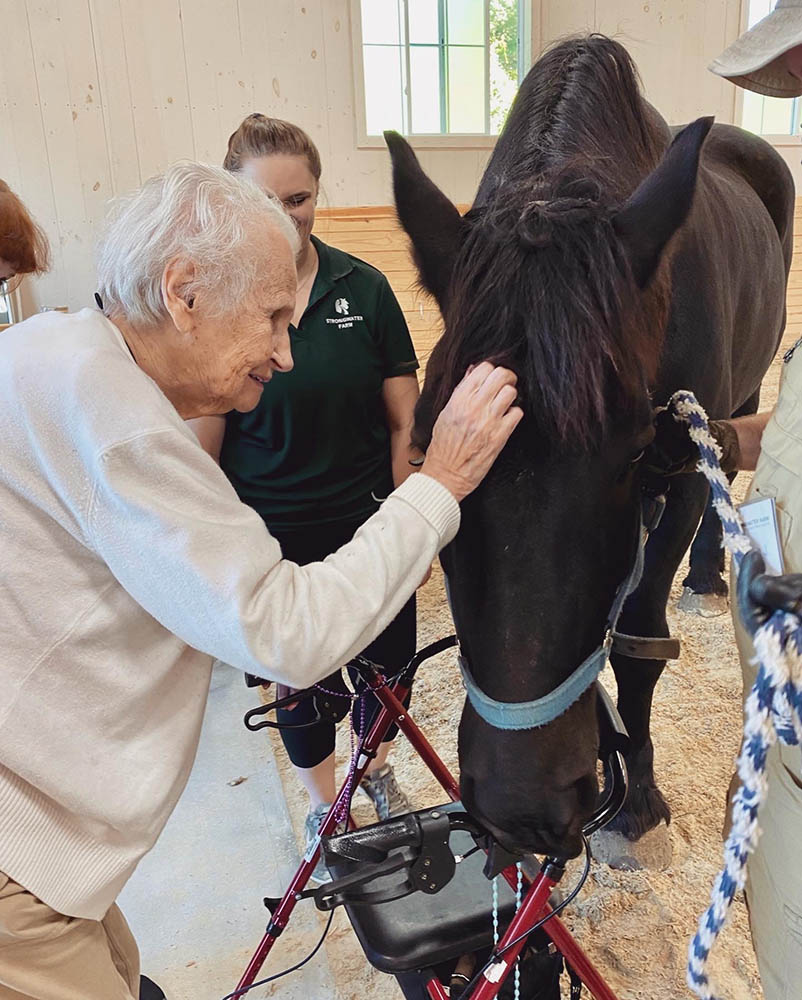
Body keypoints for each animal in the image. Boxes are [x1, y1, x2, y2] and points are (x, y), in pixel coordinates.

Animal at [385, 35, 793, 858]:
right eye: (427, 448)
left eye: (632, 453)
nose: (521, 808)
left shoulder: (681, 466)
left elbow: (639, 639)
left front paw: (637, 792)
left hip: (740, 398)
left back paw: (710, 572)